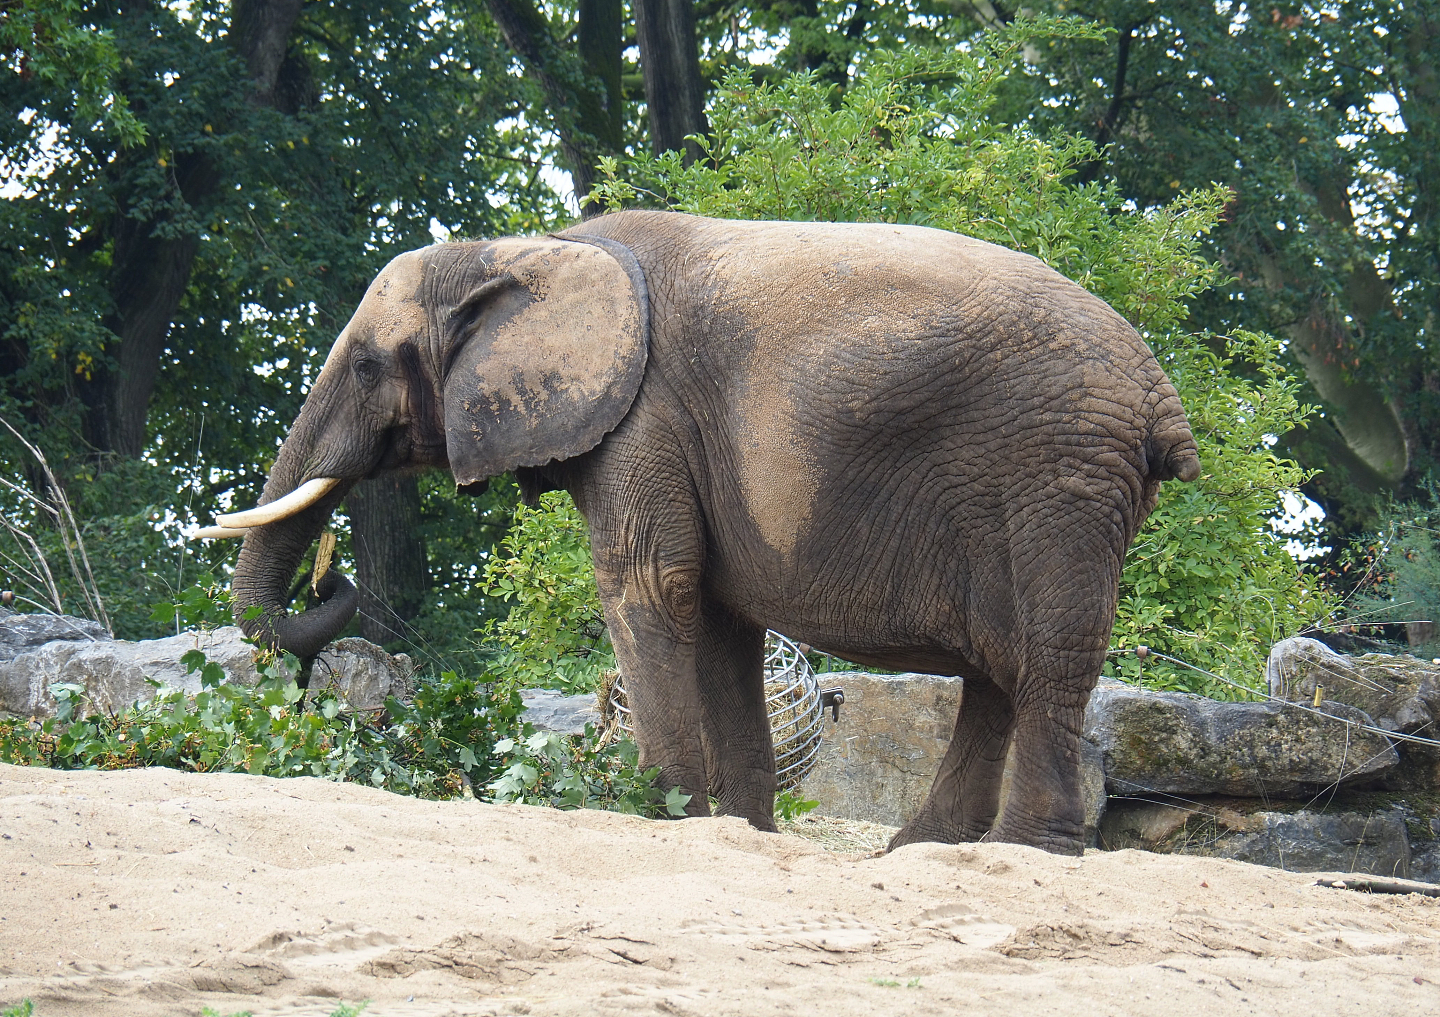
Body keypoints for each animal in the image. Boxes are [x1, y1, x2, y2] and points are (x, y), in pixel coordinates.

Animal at [211, 210, 1200, 855]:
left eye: (368, 364)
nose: (331, 580)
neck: (528, 247)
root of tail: (1161, 399)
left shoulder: (642, 414)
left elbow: (648, 585)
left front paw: (654, 813)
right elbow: (723, 624)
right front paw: (739, 830)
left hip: (1062, 475)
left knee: (1044, 657)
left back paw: (1026, 851)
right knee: (1000, 664)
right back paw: (922, 853)